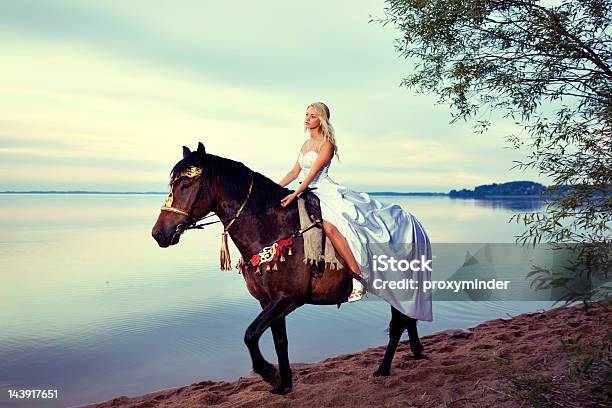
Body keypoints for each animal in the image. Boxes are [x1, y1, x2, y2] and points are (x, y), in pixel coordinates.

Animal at [152, 143, 426, 396]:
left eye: (186, 185)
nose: (158, 233)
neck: (272, 227)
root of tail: (413, 219)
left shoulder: (288, 298)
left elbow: (250, 334)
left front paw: (269, 373)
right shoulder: (269, 301)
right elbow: (278, 341)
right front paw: (284, 384)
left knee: (398, 324)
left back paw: (384, 368)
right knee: (406, 320)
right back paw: (415, 352)